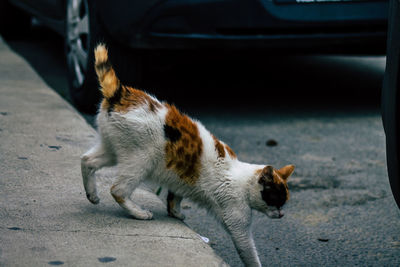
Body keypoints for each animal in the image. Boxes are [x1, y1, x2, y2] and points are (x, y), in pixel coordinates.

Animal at [81, 44, 294, 267]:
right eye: (276, 200)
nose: (282, 214)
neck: (241, 178)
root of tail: (120, 93)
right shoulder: (238, 221)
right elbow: (249, 252)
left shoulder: (179, 180)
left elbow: (174, 196)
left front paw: (175, 212)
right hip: (141, 160)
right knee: (118, 190)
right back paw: (139, 213)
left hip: (112, 150)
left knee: (87, 160)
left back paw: (92, 195)